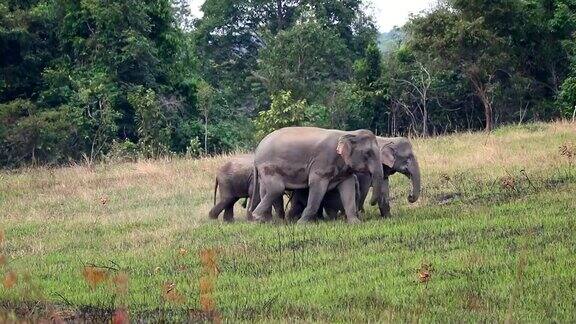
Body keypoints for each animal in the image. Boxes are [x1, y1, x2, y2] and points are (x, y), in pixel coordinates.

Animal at [250, 128, 384, 224]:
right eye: (368, 153)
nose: (372, 203)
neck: (348, 133)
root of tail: (256, 152)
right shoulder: (322, 163)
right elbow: (316, 186)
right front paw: (301, 224)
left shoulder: (344, 170)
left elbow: (348, 188)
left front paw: (355, 223)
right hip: (269, 167)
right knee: (277, 188)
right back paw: (257, 217)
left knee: (265, 190)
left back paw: (267, 221)